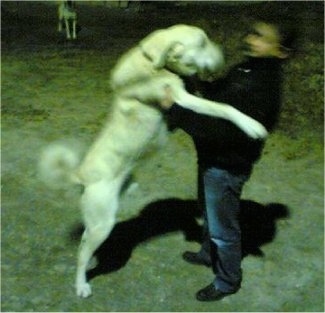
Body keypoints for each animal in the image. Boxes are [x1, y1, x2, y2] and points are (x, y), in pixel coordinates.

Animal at [38, 24, 266, 298]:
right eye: (202, 43)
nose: (224, 51)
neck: (152, 61)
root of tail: (81, 174)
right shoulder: (183, 99)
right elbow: (224, 108)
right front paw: (252, 125)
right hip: (102, 223)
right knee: (82, 253)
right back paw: (81, 285)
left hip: (100, 217)